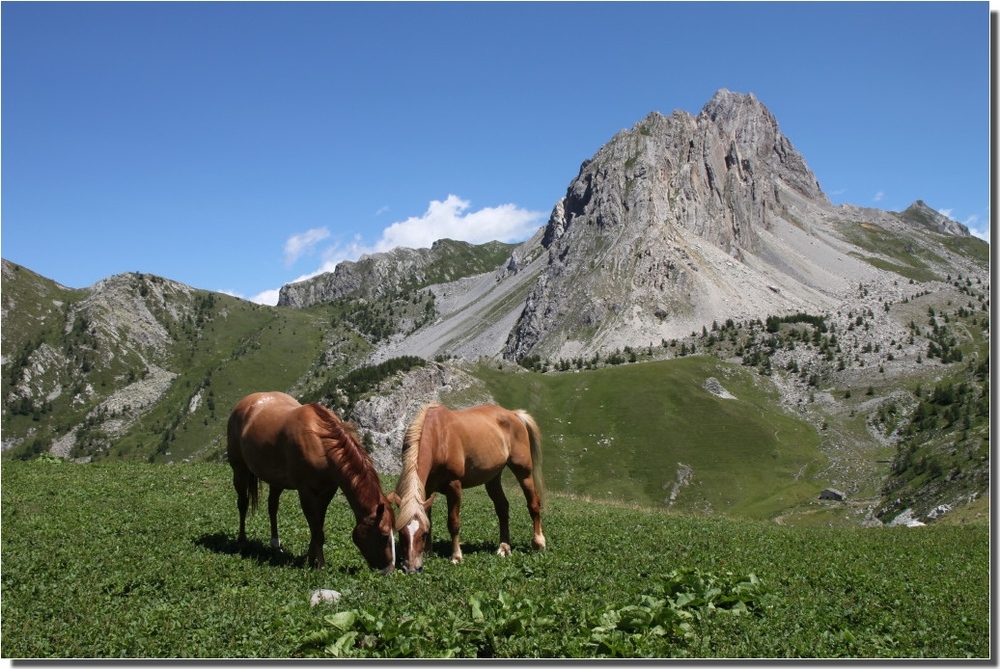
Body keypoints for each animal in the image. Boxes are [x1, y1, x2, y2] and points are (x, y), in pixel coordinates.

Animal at [229, 392, 396, 576]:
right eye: (384, 535)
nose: (389, 570)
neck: (321, 444)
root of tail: (247, 402)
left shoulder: (327, 491)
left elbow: (318, 526)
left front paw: (309, 559)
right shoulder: (306, 492)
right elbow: (317, 530)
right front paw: (320, 564)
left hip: (276, 480)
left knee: (272, 507)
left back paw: (275, 545)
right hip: (239, 470)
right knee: (242, 503)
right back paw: (242, 541)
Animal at [390, 402, 548, 576]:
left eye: (422, 534)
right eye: (401, 532)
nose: (411, 568)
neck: (439, 437)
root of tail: (513, 414)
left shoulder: (454, 485)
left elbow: (453, 522)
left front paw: (456, 557)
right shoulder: (427, 489)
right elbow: (428, 517)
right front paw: (428, 552)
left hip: (523, 472)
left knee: (533, 503)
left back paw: (539, 542)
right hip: (492, 478)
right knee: (502, 508)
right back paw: (504, 548)